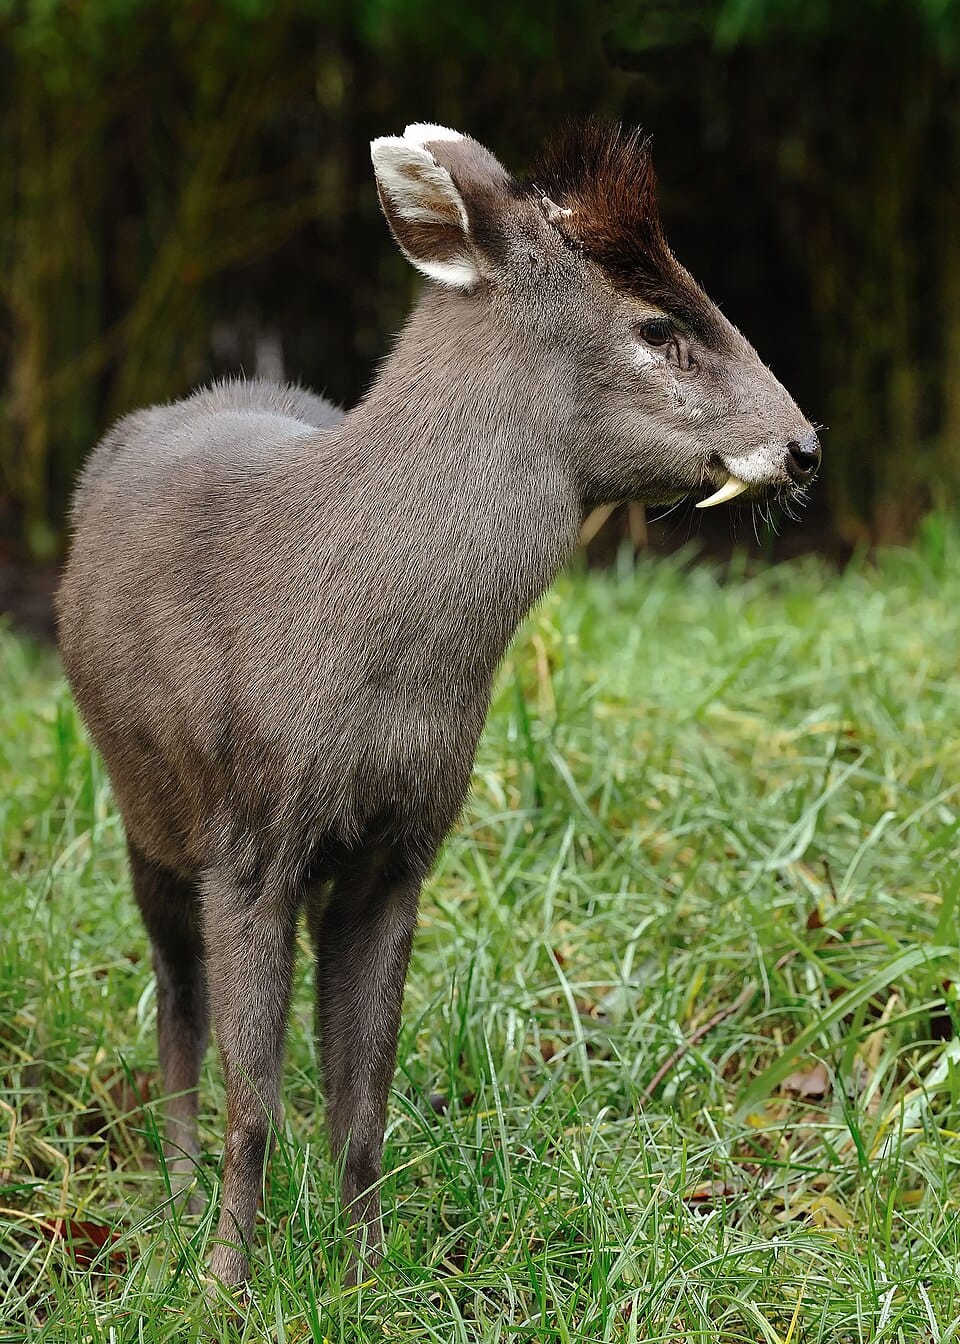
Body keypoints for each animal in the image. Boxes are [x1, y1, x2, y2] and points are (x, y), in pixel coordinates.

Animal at [56, 120, 820, 1286]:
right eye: (658, 326)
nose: (804, 445)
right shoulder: (246, 836)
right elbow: (254, 1101)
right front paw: (226, 1284)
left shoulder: (402, 847)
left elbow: (362, 1102)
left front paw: (372, 1277)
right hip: (144, 803)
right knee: (174, 988)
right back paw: (176, 1196)